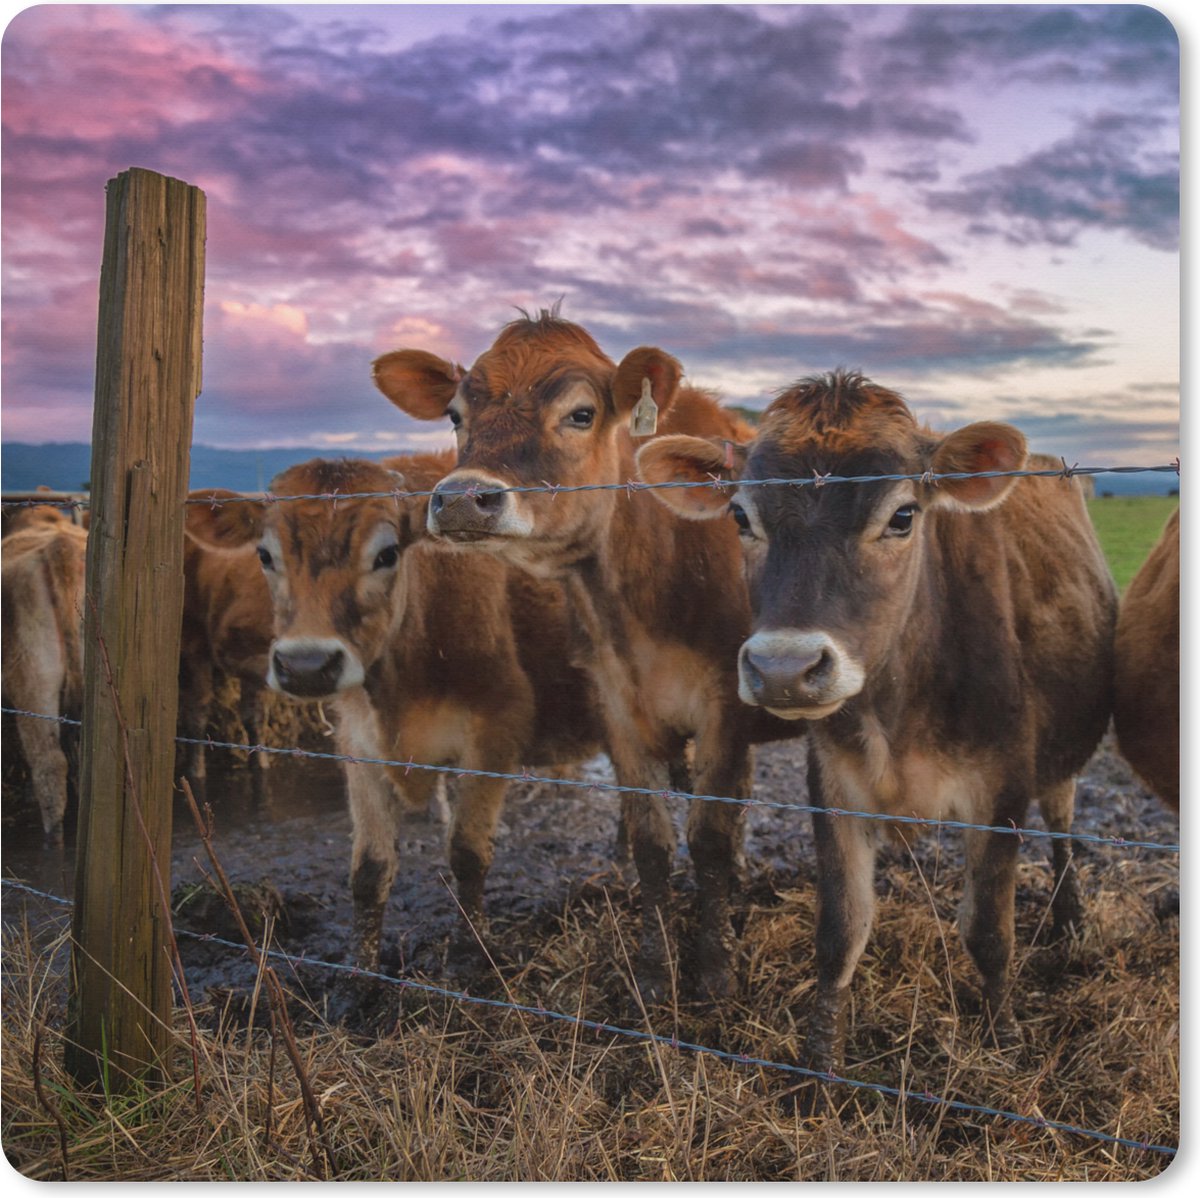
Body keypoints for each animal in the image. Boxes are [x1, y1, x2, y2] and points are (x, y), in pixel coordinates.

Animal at [372, 312, 792, 1001]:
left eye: (580, 414)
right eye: (456, 414)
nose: (461, 499)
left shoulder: (725, 706)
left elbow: (706, 839)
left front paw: (714, 971)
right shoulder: (615, 705)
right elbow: (652, 843)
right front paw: (654, 970)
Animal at [636, 369, 1117, 1069]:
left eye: (903, 516)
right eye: (740, 516)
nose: (784, 668)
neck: (900, 711)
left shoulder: (1000, 788)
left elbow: (989, 932)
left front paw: (1003, 1040)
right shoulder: (834, 785)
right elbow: (841, 931)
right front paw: (819, 1064)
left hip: (1058, 760)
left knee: (1061, 822)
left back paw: (1072, 916)